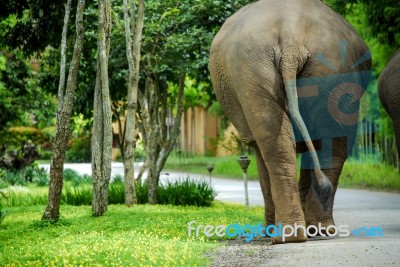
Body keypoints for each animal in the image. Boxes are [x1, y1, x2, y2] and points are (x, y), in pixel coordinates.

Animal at [209, 0, 372, 244]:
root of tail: (291, 38)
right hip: (328, 68)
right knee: (329, 144)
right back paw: (311, 232)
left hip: (253, 68)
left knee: (277, 146)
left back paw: (290, 235)